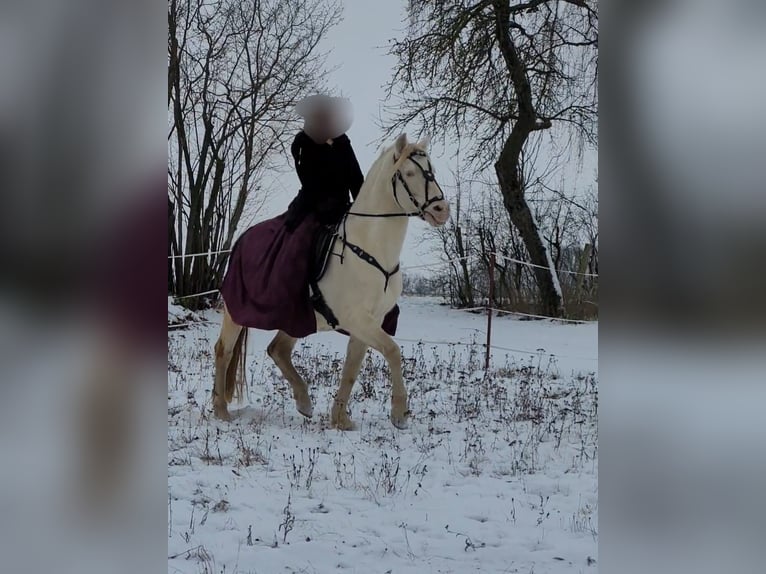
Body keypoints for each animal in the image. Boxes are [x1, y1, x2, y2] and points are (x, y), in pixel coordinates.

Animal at [212, 133, 450, 429]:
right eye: (408, 173)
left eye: (432, 170)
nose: (442, 210)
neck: (369, 248)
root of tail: (241, 241)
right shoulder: (358, 320)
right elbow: (393, 351)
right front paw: (399, 413)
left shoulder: (367, 323)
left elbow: (351, 368)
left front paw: (340, 420)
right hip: (236, 314)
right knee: (223, 351)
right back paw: (221, 411)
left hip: (297, 319)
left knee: (278, 350)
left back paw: (304, 402)